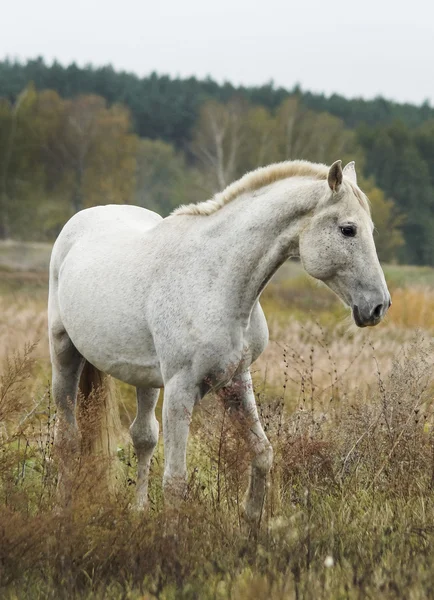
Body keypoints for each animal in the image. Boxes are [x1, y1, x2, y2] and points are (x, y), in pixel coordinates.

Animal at [48, 158, 390, 520]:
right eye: (348, 230)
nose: (379, 306)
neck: (217, 280)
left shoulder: (236, 381)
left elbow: (262, 455)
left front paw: (250, 525)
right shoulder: (181, 389)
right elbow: (175, 482)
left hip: (146, 380)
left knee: (143, 436)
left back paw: (138, 512)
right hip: (63, 353)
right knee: (67, 438)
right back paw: (61, 511)